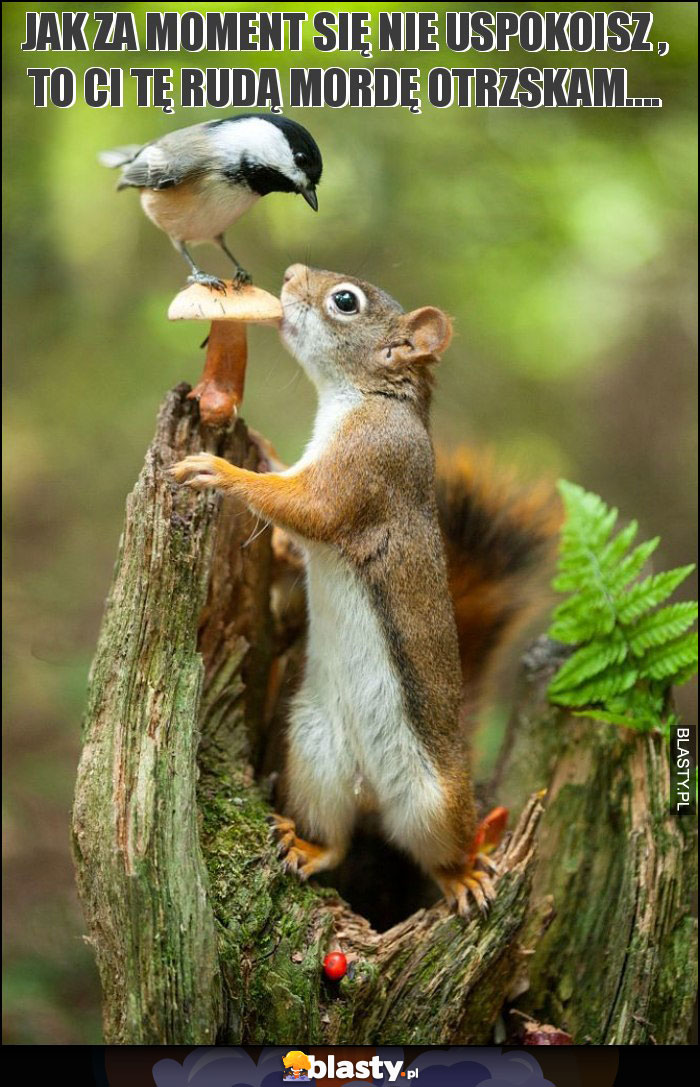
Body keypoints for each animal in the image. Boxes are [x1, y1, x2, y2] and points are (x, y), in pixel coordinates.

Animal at [171, 265, 560, 917]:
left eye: (345, 301)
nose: (289, 276)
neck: (366, 398)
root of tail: (372, 791)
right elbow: (293, 527)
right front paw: (264, 456)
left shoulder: (367, 467)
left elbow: (307, 508)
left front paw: (220, 472)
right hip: (314, 755)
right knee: (338, 839)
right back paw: (307, 846)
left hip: (435, 799)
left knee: (440, 851)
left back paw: (464, 876)